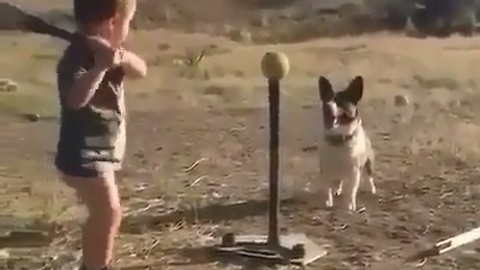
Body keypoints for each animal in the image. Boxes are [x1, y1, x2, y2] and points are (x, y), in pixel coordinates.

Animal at [316, 75, 376, 211]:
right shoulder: (325, 170)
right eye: (327, 100)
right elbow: (327, 188)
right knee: (340, 181)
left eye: (340, 102)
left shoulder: (354, 172)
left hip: (368, 163)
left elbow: (351, 191)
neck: (338, 139)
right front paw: (328, 202)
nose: (328, 106)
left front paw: (349, 206)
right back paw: (338, 190)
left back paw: (372, 189)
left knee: (369, 177)